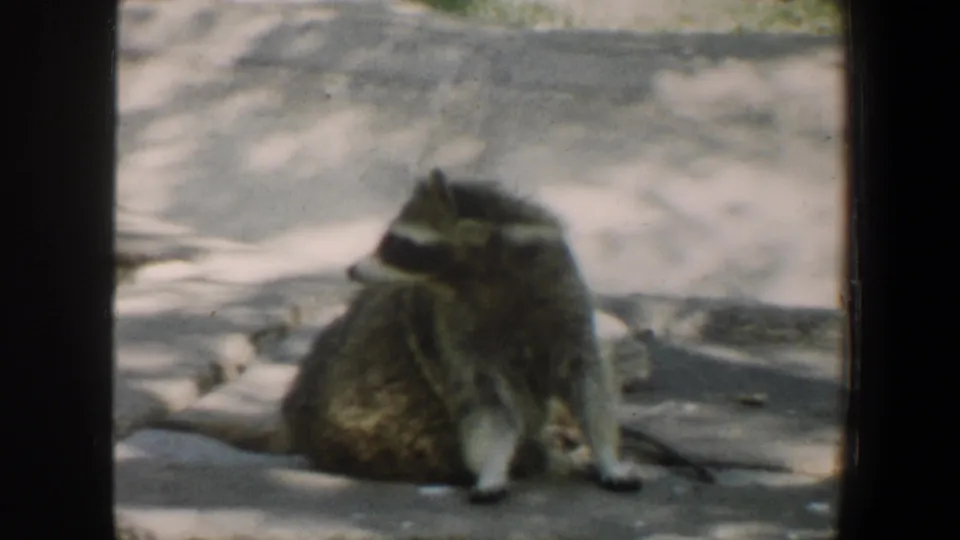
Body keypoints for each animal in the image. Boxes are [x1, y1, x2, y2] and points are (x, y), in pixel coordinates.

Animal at [281, 169, 642, 503]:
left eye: (395, 245)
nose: (352, 270)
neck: (477, 274)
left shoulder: (559, 292)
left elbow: (586, 380)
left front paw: (607, 455)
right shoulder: (452, 328)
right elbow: (486, 401)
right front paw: (493, 465)